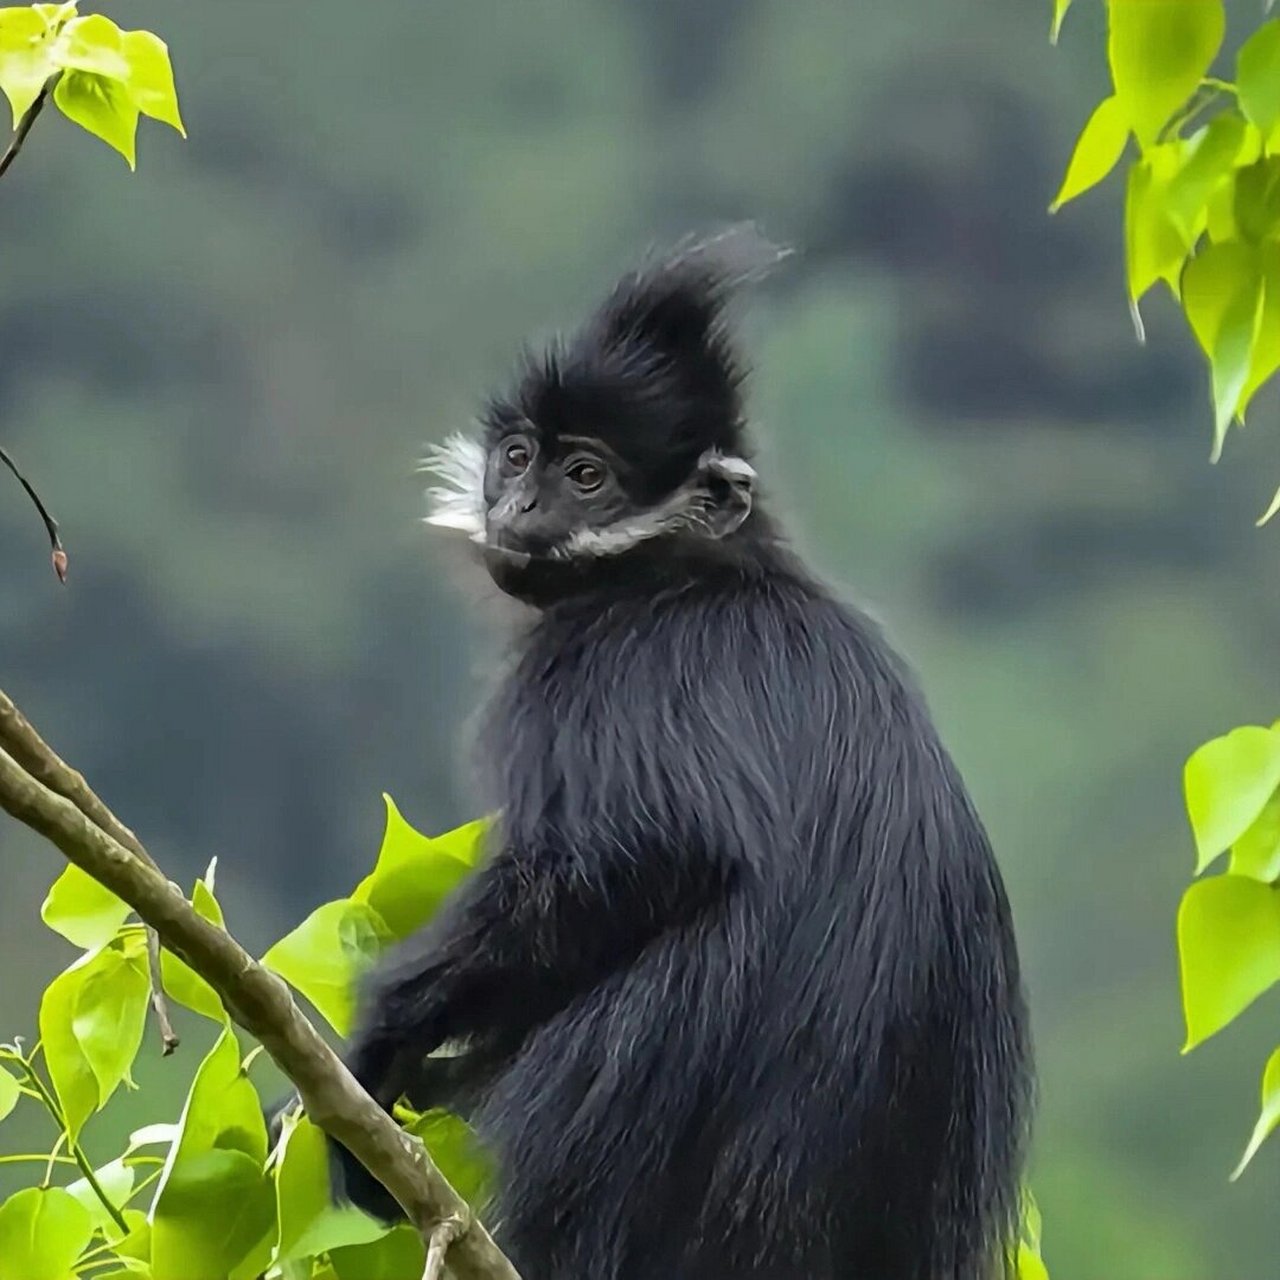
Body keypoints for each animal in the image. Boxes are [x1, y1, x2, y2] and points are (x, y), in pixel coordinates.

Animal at [337, 232, 1029, 1280]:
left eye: (588, 476)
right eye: (518, 455)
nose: (520, 504)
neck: (693, 569)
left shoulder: (610, 666)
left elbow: (653, 856)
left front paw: (378, 1045)